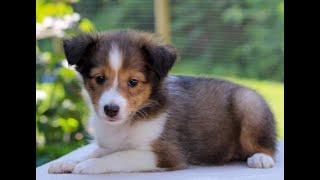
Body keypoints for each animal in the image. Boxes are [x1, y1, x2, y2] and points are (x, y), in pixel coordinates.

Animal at [48, 30, 278, 174]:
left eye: (133, 82)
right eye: (99, 79)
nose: (111, 110)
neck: (131, 120)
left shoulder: (167, 154)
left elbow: (118, 157)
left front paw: (89, 166)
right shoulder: (111, 144)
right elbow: (94, 151)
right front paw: (66, 162)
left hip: (248, 104)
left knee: (269, 147)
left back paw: (261, 158)